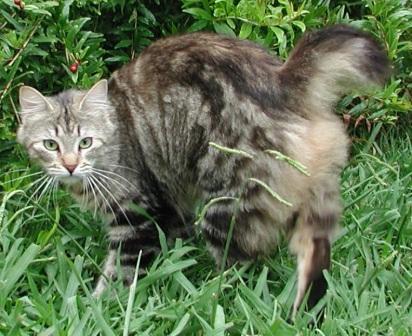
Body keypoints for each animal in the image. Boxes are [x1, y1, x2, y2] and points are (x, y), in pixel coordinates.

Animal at [16, 24, 390, 318]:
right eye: (50, 145)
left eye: (85, 142)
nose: (69, 165)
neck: (119, 129)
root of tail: (282, 80)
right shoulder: (171, 201)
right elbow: (174, 240)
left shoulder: (137, 215)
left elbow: (121, 270)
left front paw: (97, 307)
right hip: (316, 198)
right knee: (314, 258)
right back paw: (304, 314)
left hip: (227, 202)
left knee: (240, 267)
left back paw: (209, 298)